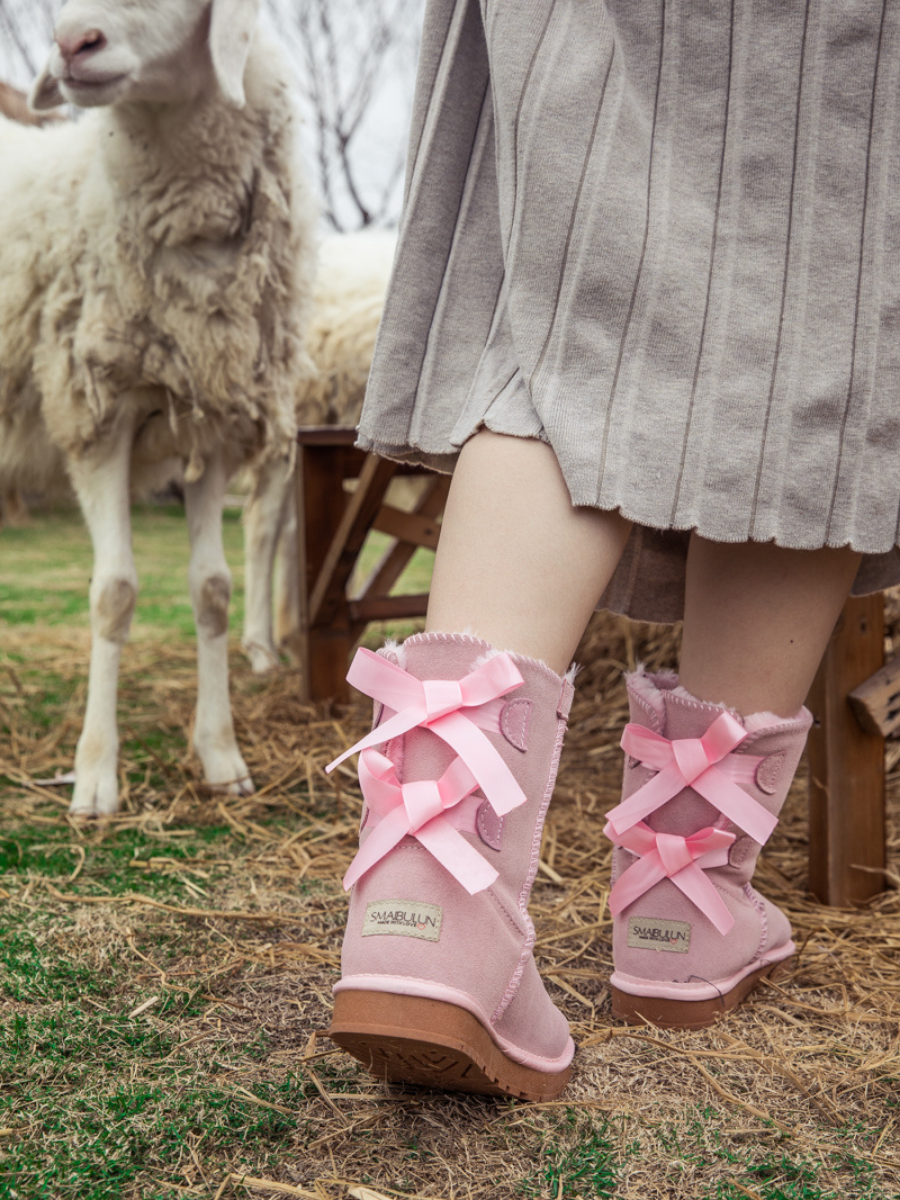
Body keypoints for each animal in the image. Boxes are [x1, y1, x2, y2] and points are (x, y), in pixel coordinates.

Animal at [0, 0, 316, 816]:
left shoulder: (215, 425)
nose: (71, 44)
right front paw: (94, 774)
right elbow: (113, 594)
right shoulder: (95, 413)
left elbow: (213, 592)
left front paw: (221, 755)